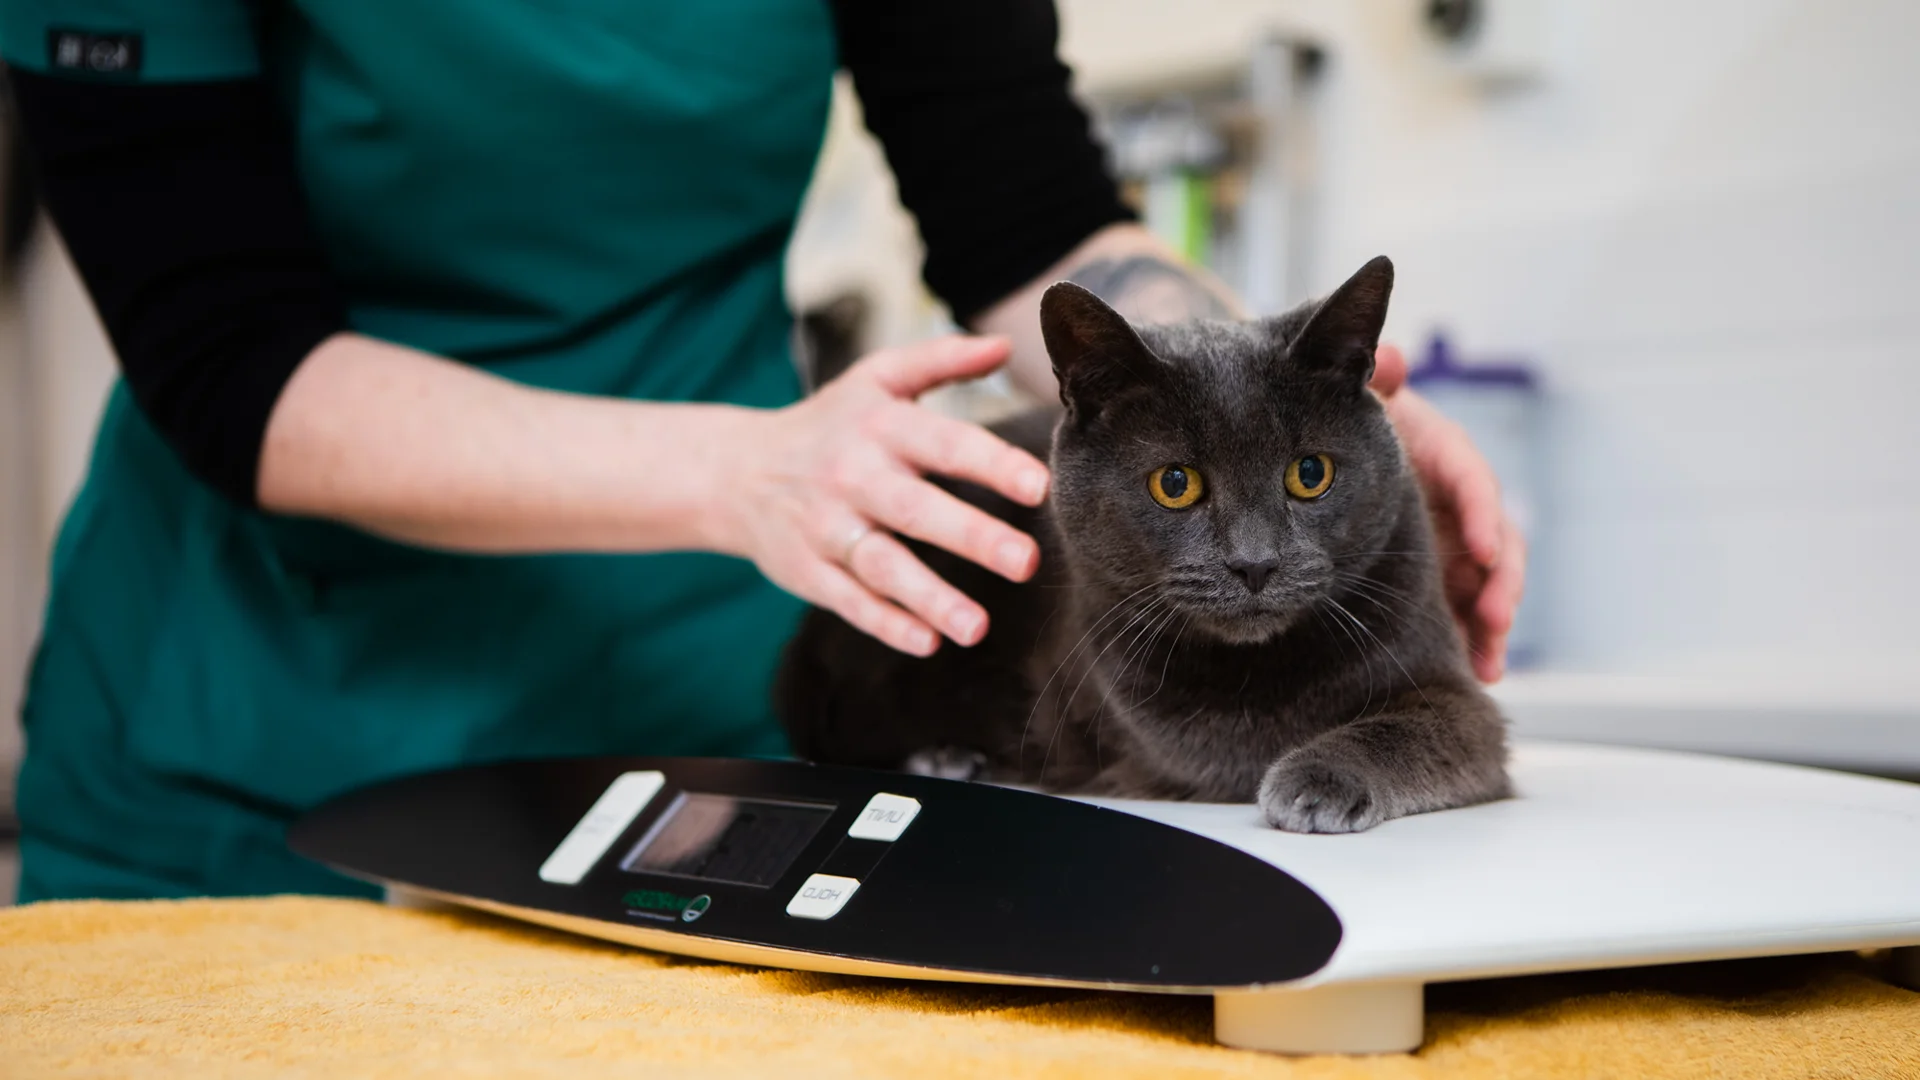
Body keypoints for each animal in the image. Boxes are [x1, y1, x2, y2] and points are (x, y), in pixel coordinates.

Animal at [771, 255, 1505, 826]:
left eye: (1310, 474)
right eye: (1174, 483)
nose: (1255, 562)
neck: (1259, 671)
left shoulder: (1456, 692)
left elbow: (1415, 725)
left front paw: (1317, 777)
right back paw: (945, 757)